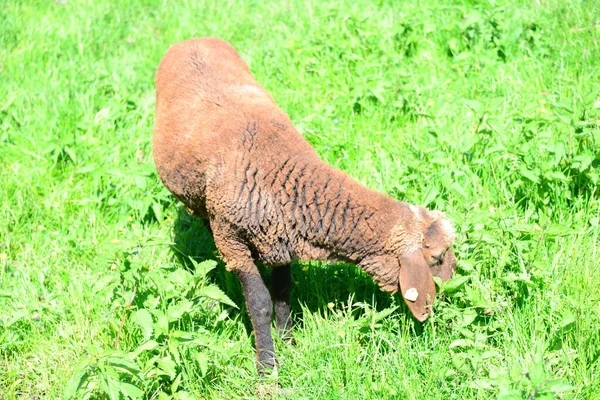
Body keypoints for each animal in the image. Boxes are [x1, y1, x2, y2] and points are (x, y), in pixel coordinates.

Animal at [152, 37, 458, 376]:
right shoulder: (235, 242)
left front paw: (289, 343)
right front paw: (267, 365)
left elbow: (283, 294)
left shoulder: (279, 240)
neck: (280, 172)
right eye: (437, 257)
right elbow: (260, 303)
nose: (454, 283)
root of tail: (192, 39)